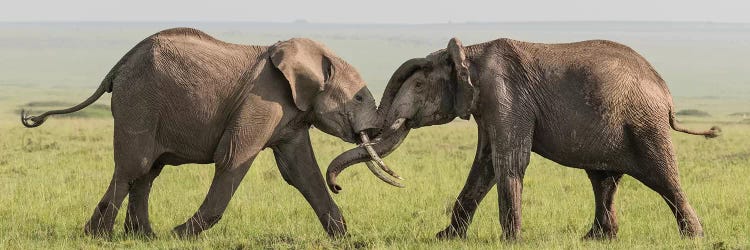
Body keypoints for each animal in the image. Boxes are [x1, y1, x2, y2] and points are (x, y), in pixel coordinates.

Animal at [21, 27, 394, 238]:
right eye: (360, 97)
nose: (340, 185)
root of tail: (118, 66)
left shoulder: (292, 114)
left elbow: (301, 171)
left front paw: (344, 239)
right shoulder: (263, 98)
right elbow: (233, 159)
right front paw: (178, 236)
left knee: (148, 171)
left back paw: (142, 237)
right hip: (138, 100)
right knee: (133, 166)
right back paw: (99, 237)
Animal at [330, 37, 724, 240]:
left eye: (418, 86)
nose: (337, 187)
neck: (469, 53)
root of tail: (666, 94)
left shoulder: (505, 95)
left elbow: (508, 161)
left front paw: (510, 241)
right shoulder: (488, 104)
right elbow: (485, 164)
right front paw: (446, 239)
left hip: (644, 125)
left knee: (663, 177)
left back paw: (693, 237)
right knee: (603, 180)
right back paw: (596, 239)